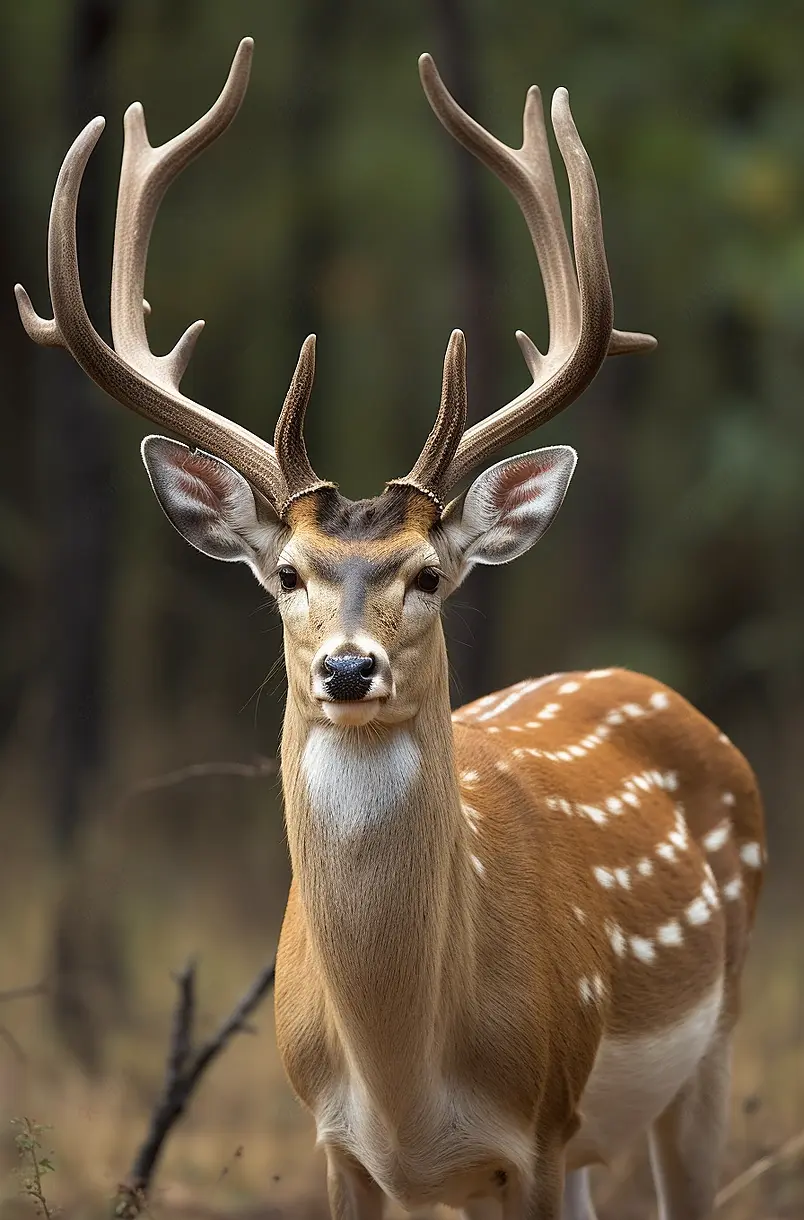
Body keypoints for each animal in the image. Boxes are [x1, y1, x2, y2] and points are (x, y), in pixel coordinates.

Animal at [16, 35, 766, 1220]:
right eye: (285, 573)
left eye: (428, 575)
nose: (348, 667)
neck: (407, 1073)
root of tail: (650, 687)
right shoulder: (338, 1146)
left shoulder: (540, 1131)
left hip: (712, 1045)